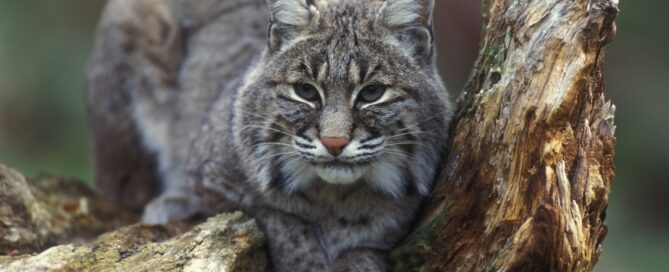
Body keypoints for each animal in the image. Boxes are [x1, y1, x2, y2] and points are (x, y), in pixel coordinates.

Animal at [87, 0, 448, 270]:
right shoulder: (208, 174)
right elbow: (276, 220)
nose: (334, 144)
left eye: (372, 93)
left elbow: (366, 246)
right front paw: (306, 260)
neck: (337, 197)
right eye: (306, 91)